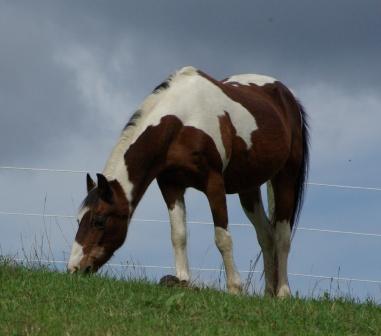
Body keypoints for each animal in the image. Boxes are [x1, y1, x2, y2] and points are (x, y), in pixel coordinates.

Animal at [67, 65, 308, 296]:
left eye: (99, 220)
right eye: (79, 219)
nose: (74, 268)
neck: (182, 121)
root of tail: (287, 96)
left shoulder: (214, 183)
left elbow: (222, 237)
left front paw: (234, 288)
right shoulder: (171, 185)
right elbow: (178, 235)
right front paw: (183, 281)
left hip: (286, 177)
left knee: (282, 236)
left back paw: (283, 292)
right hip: (249, 187)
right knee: (266, 235)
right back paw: (268, 293)